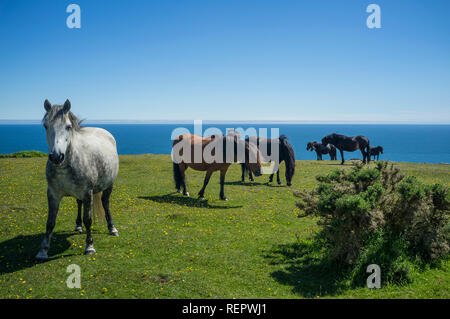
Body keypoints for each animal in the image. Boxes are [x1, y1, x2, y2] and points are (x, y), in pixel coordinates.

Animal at [36, 99, 119, 262]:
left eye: (68, 127)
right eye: (46, 126)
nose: (56, 157)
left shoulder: (87, 193)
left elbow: (89, 220)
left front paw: (89, 246)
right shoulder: (53, 194)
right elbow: (50, 222)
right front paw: (43, 250)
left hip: (108, 185)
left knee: (105, 203)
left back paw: (112, 228)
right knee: (78, 203)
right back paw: (78, 225)